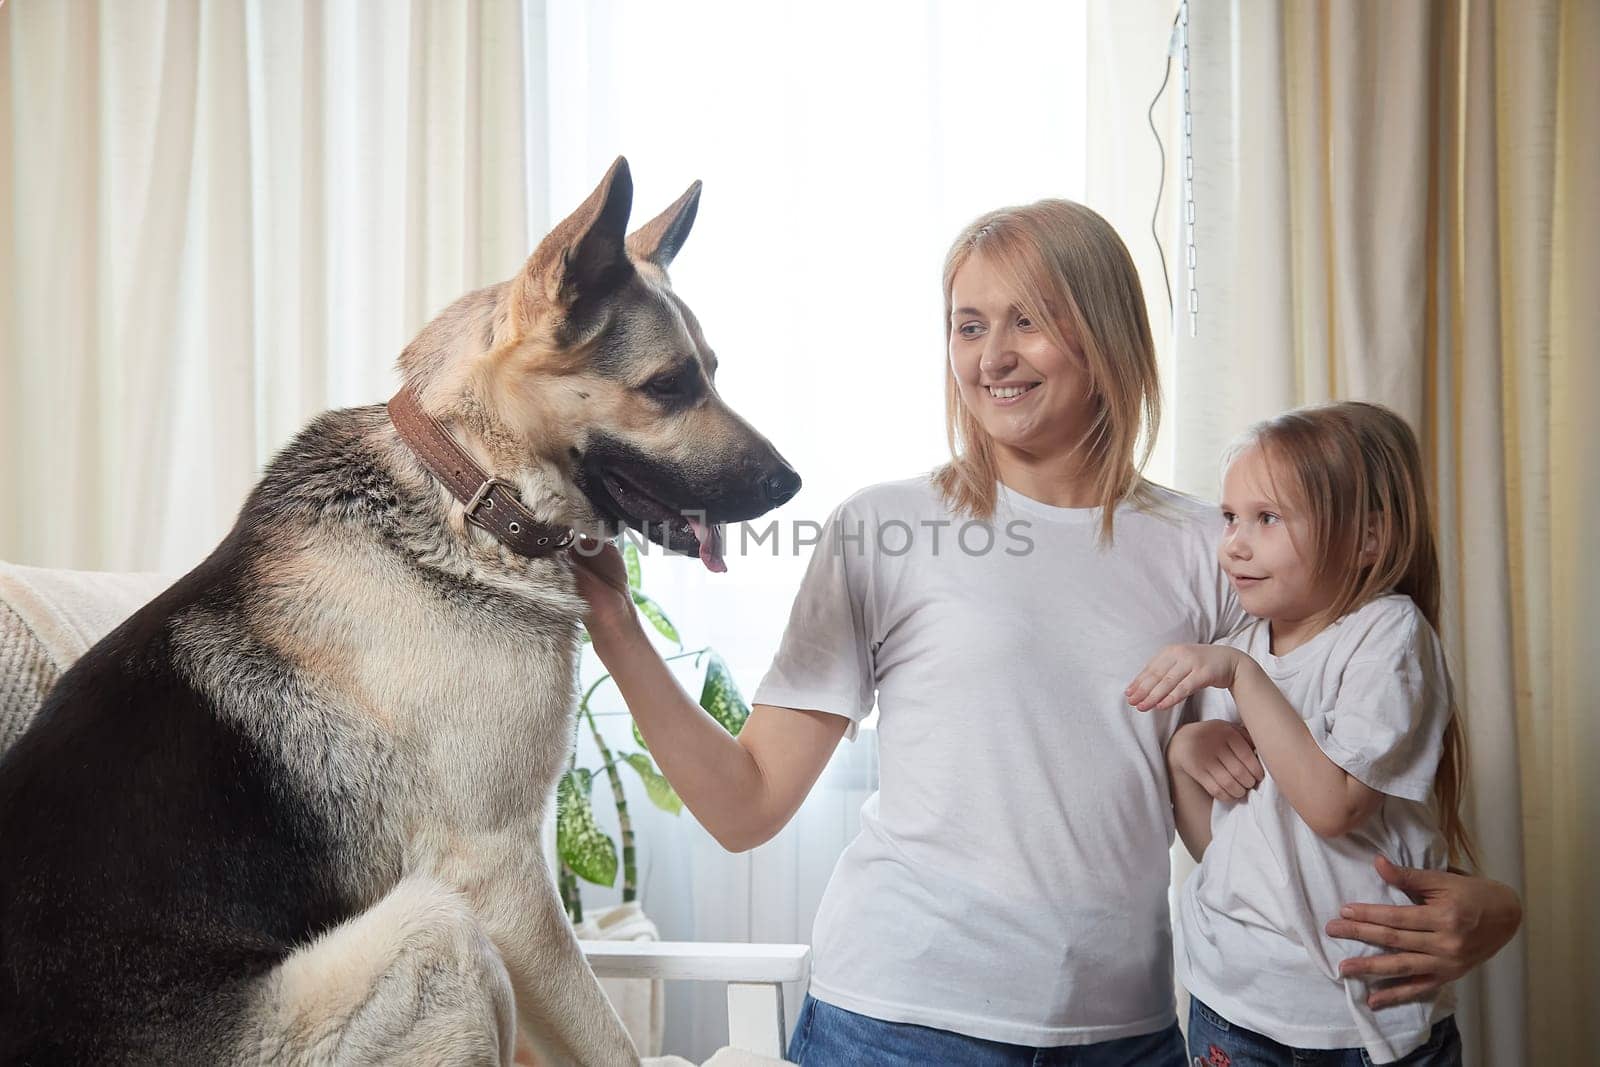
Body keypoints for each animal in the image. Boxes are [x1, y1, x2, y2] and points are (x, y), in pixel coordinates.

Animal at [0, 160, 800, 1067]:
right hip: (437, 929)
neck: (470, 488)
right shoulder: (502, 877)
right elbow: (610, 1042)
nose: (792, 484)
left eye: (711, 371)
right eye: (670, 385)